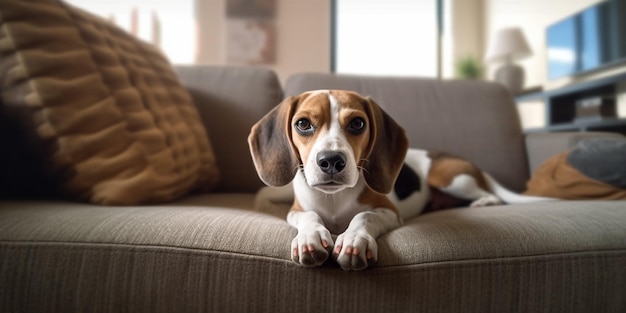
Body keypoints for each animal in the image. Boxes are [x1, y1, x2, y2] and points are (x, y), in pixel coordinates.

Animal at [246, 89, 548, 270]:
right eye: (303, 124)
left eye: (357, 123)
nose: (331, 161)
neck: (334, 198)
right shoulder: (297, 210)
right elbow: (309, 216)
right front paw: (310, 238)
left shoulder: (389, 212)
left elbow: (364, 216)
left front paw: (354, 240)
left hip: (449, 178)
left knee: (490, 194)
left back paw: (483, 203)